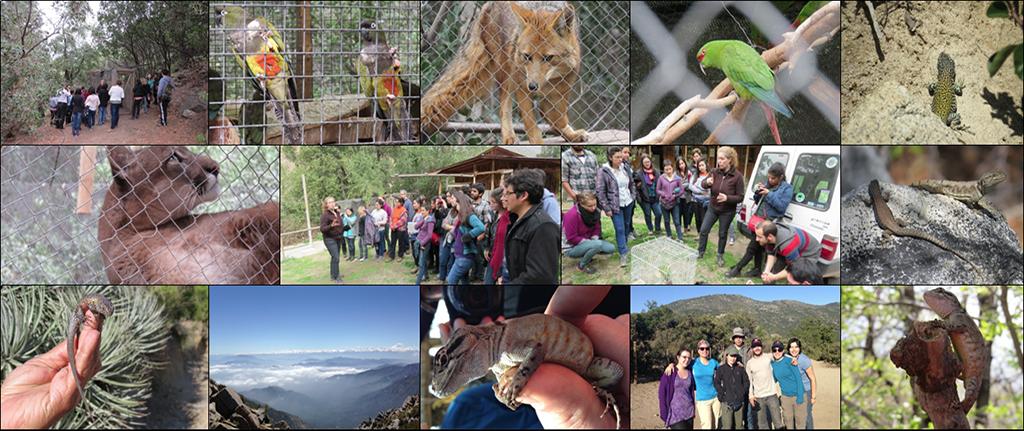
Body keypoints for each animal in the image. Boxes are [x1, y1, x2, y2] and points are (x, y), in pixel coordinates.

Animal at [421, 1, 585, 144]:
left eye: (548, 58)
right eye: (527, 56)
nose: (532, 86)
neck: (548, 83)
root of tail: (488, 5)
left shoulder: (560, 92)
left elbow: (558, 119)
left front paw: (570, 135)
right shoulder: (522, 88)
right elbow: (531, 125)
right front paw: (537, 143)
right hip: (506, 73)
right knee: (503, 108)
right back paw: (509, 137)